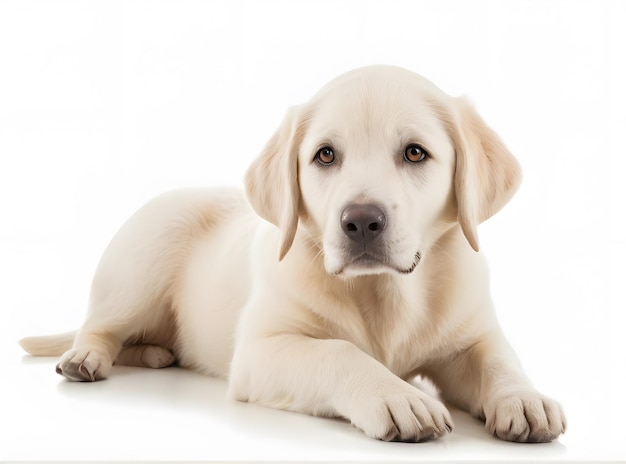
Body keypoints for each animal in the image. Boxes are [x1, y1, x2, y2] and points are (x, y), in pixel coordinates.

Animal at [19, 64, 564, 442]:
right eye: (325, 155)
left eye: (415, 152)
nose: (360, 222)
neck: (382, 292)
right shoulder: (261, 351)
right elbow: (337, 351)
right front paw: (395, 395)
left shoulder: (471, 335)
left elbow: (497, 359)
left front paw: (525, 398)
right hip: (139, 267)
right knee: (99, 325)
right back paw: (85, 357)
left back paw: (156, 353)